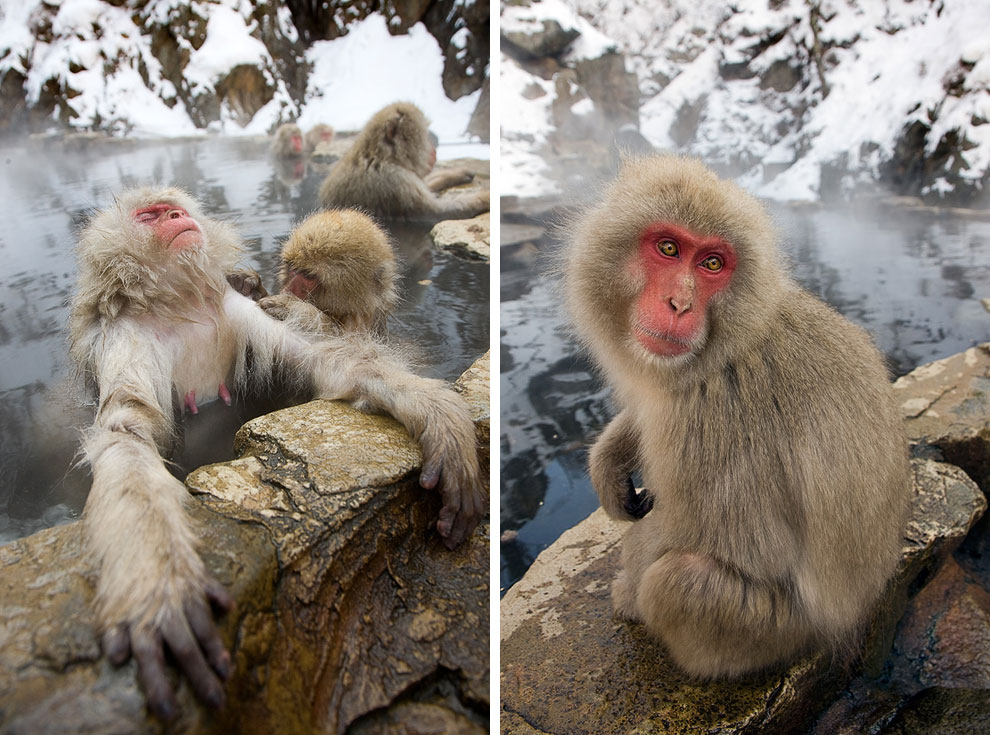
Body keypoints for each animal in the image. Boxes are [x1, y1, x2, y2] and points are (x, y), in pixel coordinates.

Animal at [70, 187, 488, 720]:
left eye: (171, 209)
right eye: (151, 215)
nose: (178, 215)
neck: (180, 305)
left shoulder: (238, 309)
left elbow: (324, 359)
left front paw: (439, 416)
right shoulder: (125, 334)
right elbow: (129, 431)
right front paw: (157, 583)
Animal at [320, 102, 490, 220]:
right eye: (425, 136)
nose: (433, 150)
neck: (381, 155)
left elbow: (426, 186)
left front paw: (457, 174)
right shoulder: (394, 180)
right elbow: (437, 213)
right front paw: (484, 198)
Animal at [564, 154, 916, 680]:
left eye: (712, 264)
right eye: (668, 248)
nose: (680, 303)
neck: (725, 345)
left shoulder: (714, 416)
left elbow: (749, 547)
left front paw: (628, 590)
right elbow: (648, 407)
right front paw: (609, 465)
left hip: (774, 630)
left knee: (679, 581)